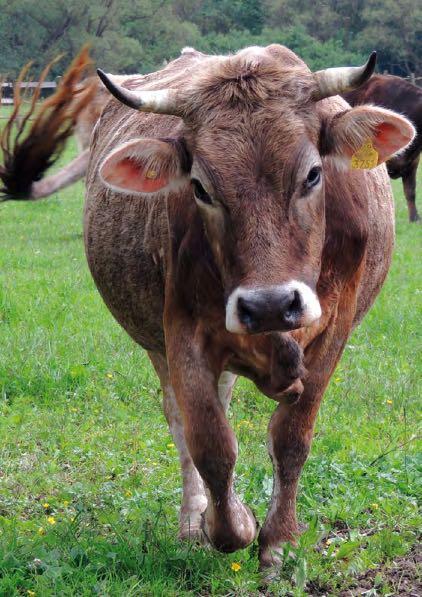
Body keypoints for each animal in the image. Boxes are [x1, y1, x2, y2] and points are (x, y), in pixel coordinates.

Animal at [81, 42, 414, 572]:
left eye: (313, 174)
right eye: (200, 187)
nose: (270, 304)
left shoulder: (334, 330)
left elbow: (291, 437)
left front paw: (279, 540)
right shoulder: (182, 332)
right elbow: (210, 442)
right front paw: (230, 525)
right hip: (157, 345)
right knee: (182, 422)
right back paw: (193, 520)